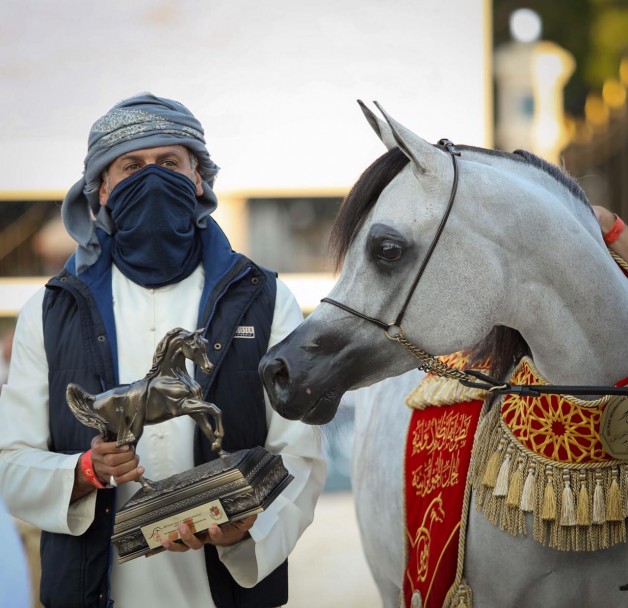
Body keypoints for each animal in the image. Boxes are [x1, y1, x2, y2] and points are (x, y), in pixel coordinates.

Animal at [67, 328, 224, 490]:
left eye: (205, 345)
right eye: (195, 348)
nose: (209, 368)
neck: (172, 376)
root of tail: (94, 398)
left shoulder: (193, 408)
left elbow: (207, 426)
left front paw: (220, 451)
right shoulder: (182, 406)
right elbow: (214, 408)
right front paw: (219, 440)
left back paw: (150, 484)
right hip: (129, 432)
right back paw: (149, 487)